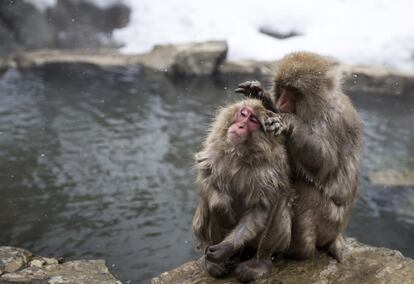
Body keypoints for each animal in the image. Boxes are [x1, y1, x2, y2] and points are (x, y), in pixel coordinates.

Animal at [192, 99, 292, 282]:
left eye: (252, 120)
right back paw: (212, 263)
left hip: (251, 244)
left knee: (280, 200)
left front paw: (224, 248)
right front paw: (223, 211)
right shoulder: (214, 149)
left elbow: (261, 207)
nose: (240, 125)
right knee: (208, 206)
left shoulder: (268, 170)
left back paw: (259, 262)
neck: (239, 153)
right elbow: (207, 178)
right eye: (243, 114)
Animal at [236, 51, 362, 262]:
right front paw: (263, 97)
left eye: (293, 91)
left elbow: (326, 162)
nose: (281, 102)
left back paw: (299, 252)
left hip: (330, 223)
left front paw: (288, 122)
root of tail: (337, 234)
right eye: (283, 88)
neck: (317, 107)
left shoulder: (334, 120)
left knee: (305, 191)